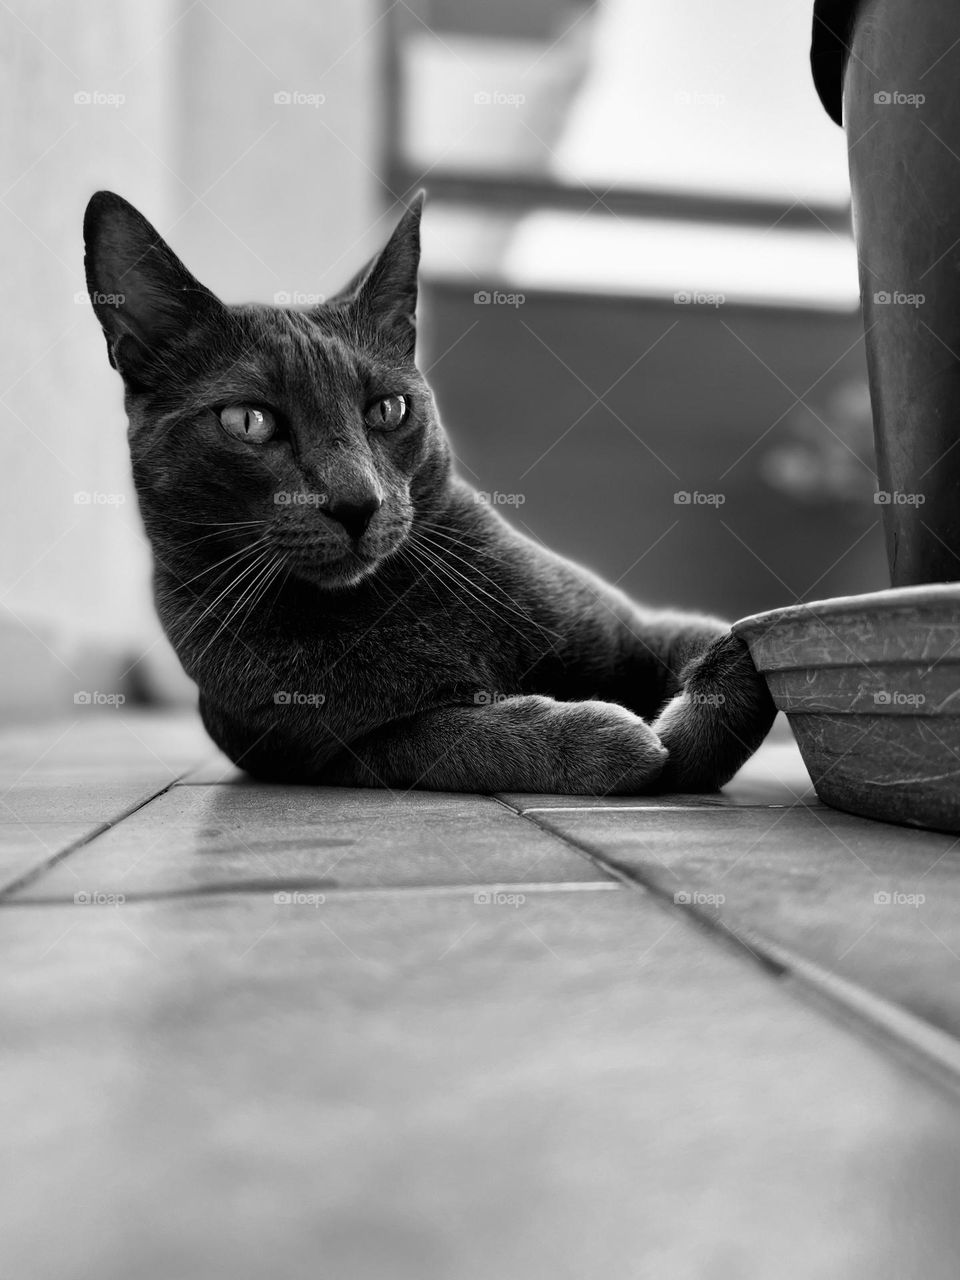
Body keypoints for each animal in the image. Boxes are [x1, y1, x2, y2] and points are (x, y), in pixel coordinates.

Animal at [80, 188, 773, 788]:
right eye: (248, 421)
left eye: (388, 410)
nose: (355, 501)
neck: (388, 602)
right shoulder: (333, 753)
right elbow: (456, 737)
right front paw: (615, 741)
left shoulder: (639, 629)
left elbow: (738, 647)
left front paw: (684, 743)